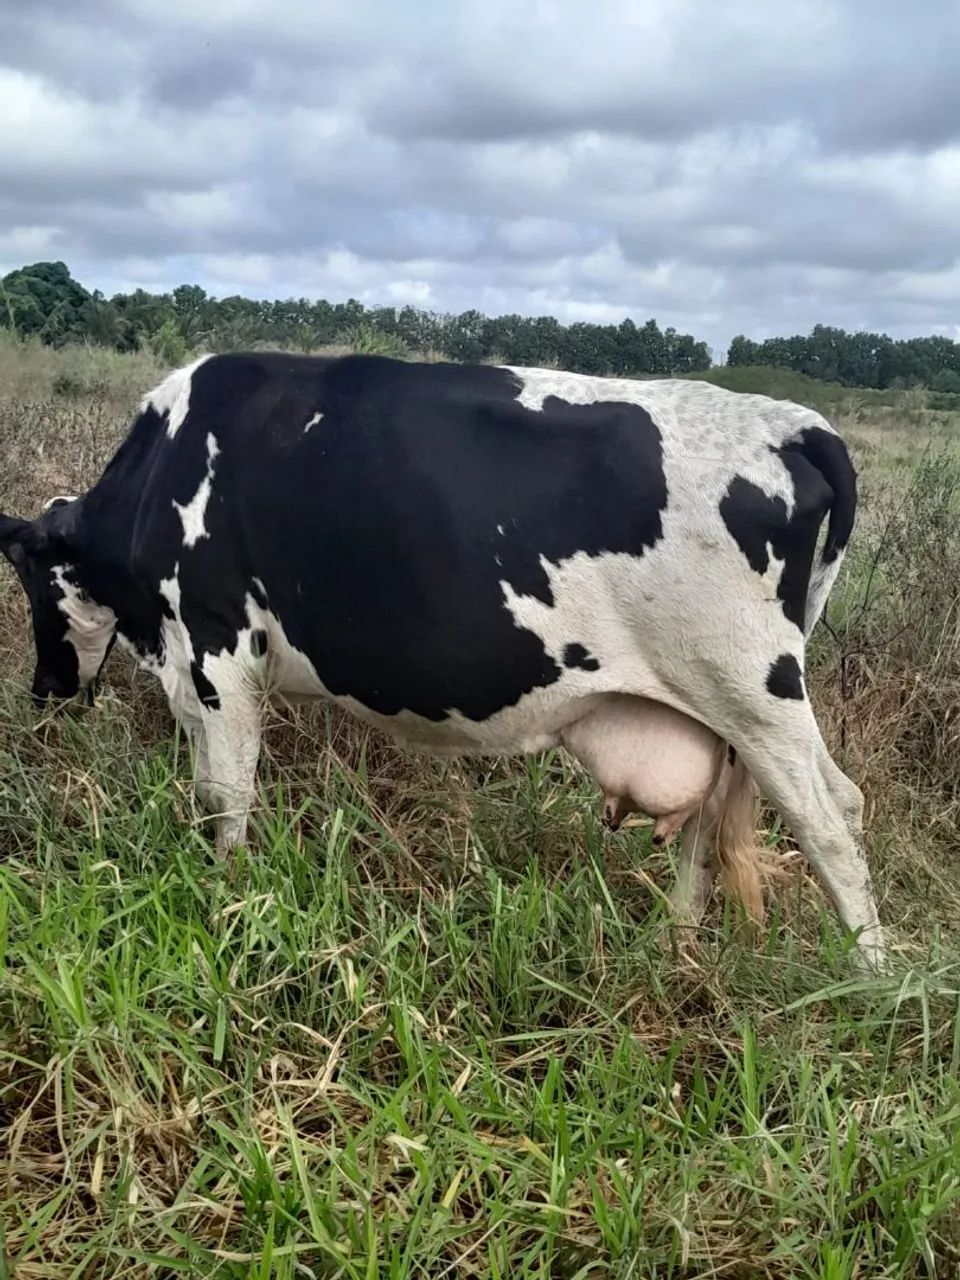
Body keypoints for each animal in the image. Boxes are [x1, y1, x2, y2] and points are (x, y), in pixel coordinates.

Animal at [0, 352, 886, 969]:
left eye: (30, 580)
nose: (44, 689)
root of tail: (793, 423)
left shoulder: (218, 650)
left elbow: (226, 795)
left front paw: (224, 894)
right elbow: (206, 783)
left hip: (754, 689)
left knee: (832, 816)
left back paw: (874, 983)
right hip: (726, 709)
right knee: (721, 816)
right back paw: (676, 944)